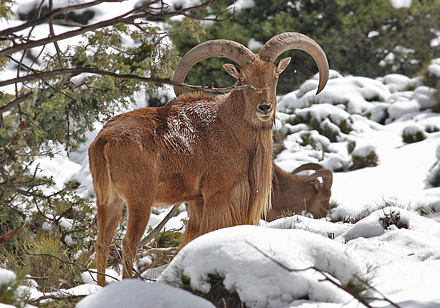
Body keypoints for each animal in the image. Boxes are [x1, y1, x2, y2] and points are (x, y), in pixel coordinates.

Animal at [88, 32, 326, 286]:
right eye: (243, 78)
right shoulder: (218, 195)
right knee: (128, 245)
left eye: (275, 75)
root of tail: (104, 140)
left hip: (109, 201)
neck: (229, 127)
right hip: (139, 201)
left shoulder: (196, 201)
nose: (264, 107)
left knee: (102, 244)